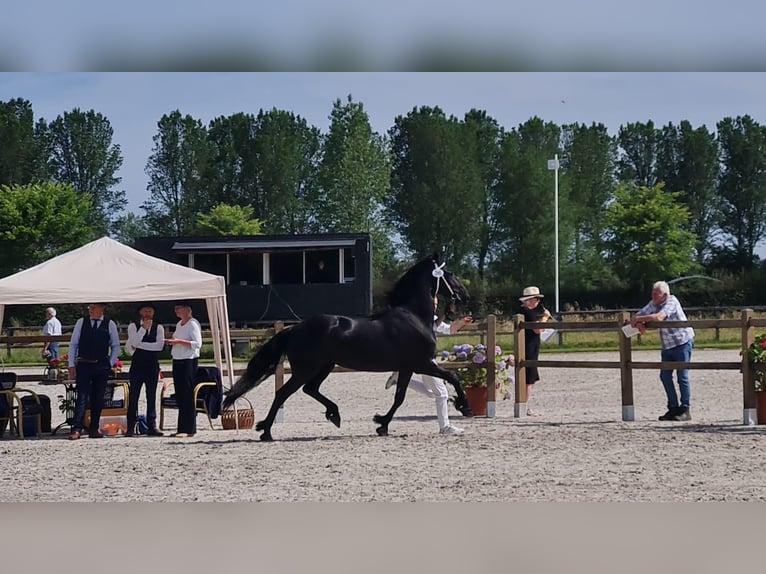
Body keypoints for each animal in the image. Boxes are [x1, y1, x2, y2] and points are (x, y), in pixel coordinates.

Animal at [222, 255, 474, 440]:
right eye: (450, 274)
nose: (465, 295)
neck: (413, 316)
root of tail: (295, 329)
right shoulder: (422, 363)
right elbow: (452, 377)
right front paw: (465, 407)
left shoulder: (407, 367)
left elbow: (399, 397)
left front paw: (381, 424)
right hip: (306, 369)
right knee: (284, 392)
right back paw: (266, 431)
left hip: (324, 366)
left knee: (310, 389)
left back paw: (334, 415)